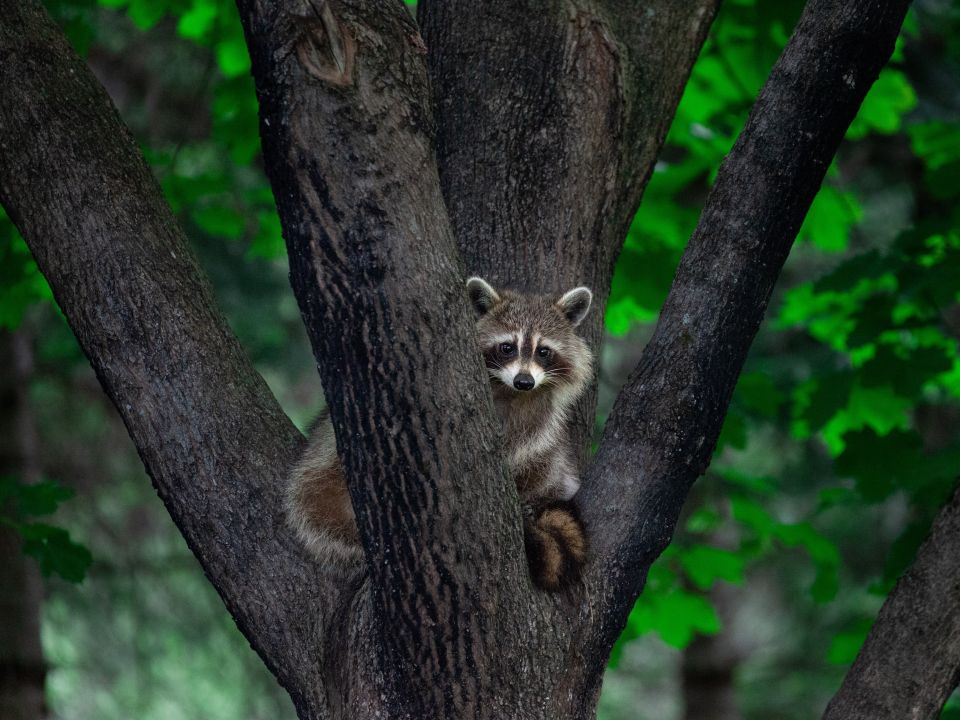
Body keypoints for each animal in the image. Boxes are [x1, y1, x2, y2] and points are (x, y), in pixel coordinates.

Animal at [286, 277, 594, 590]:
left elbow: (533, 456)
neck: (510, 393)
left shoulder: (539, 420)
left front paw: (525, 492)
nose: (524, 381)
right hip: (322, 478)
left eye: (543, 351)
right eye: (507, 347)